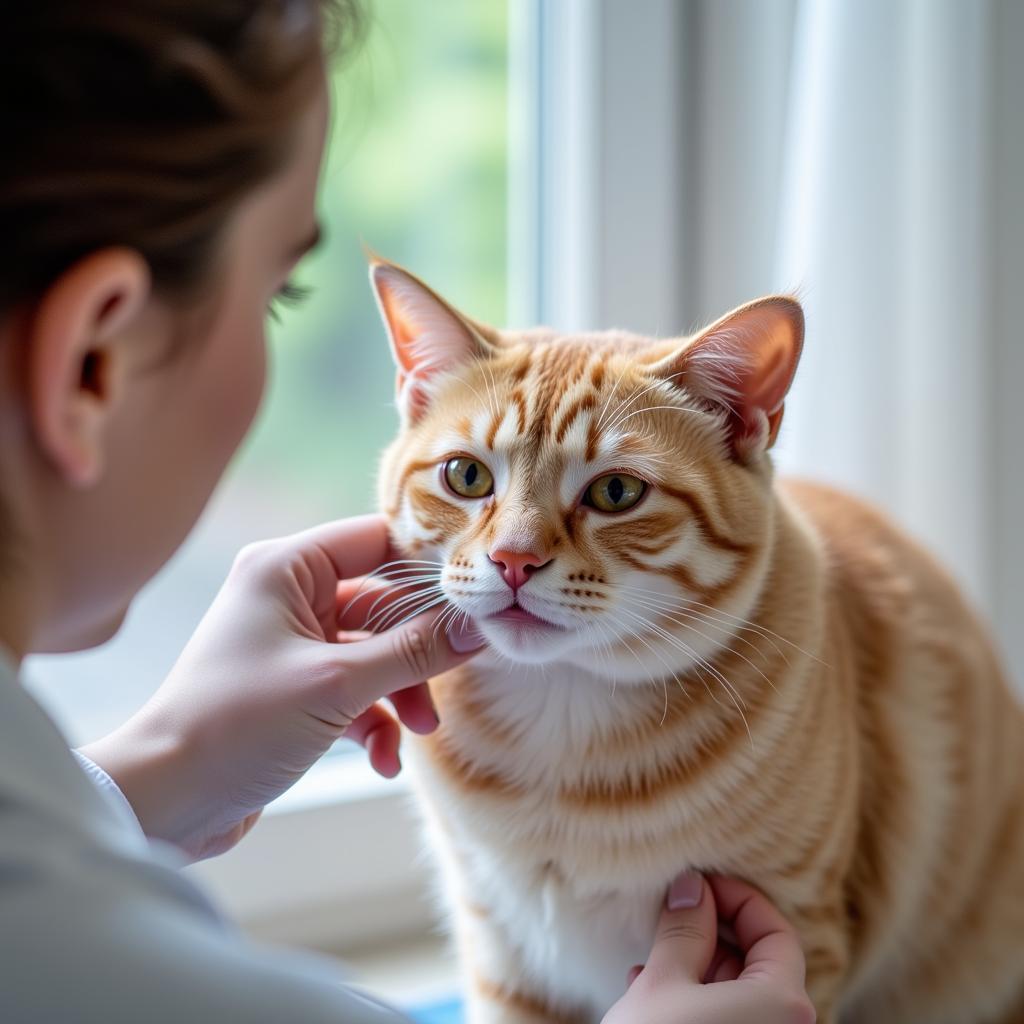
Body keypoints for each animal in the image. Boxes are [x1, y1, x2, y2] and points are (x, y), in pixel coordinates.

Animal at [368, 258, 1024, 1024]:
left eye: (617, 493)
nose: (513, 560)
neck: (562, 737)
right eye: (466, 476)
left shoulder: (804, 932)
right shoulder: (505, 960)